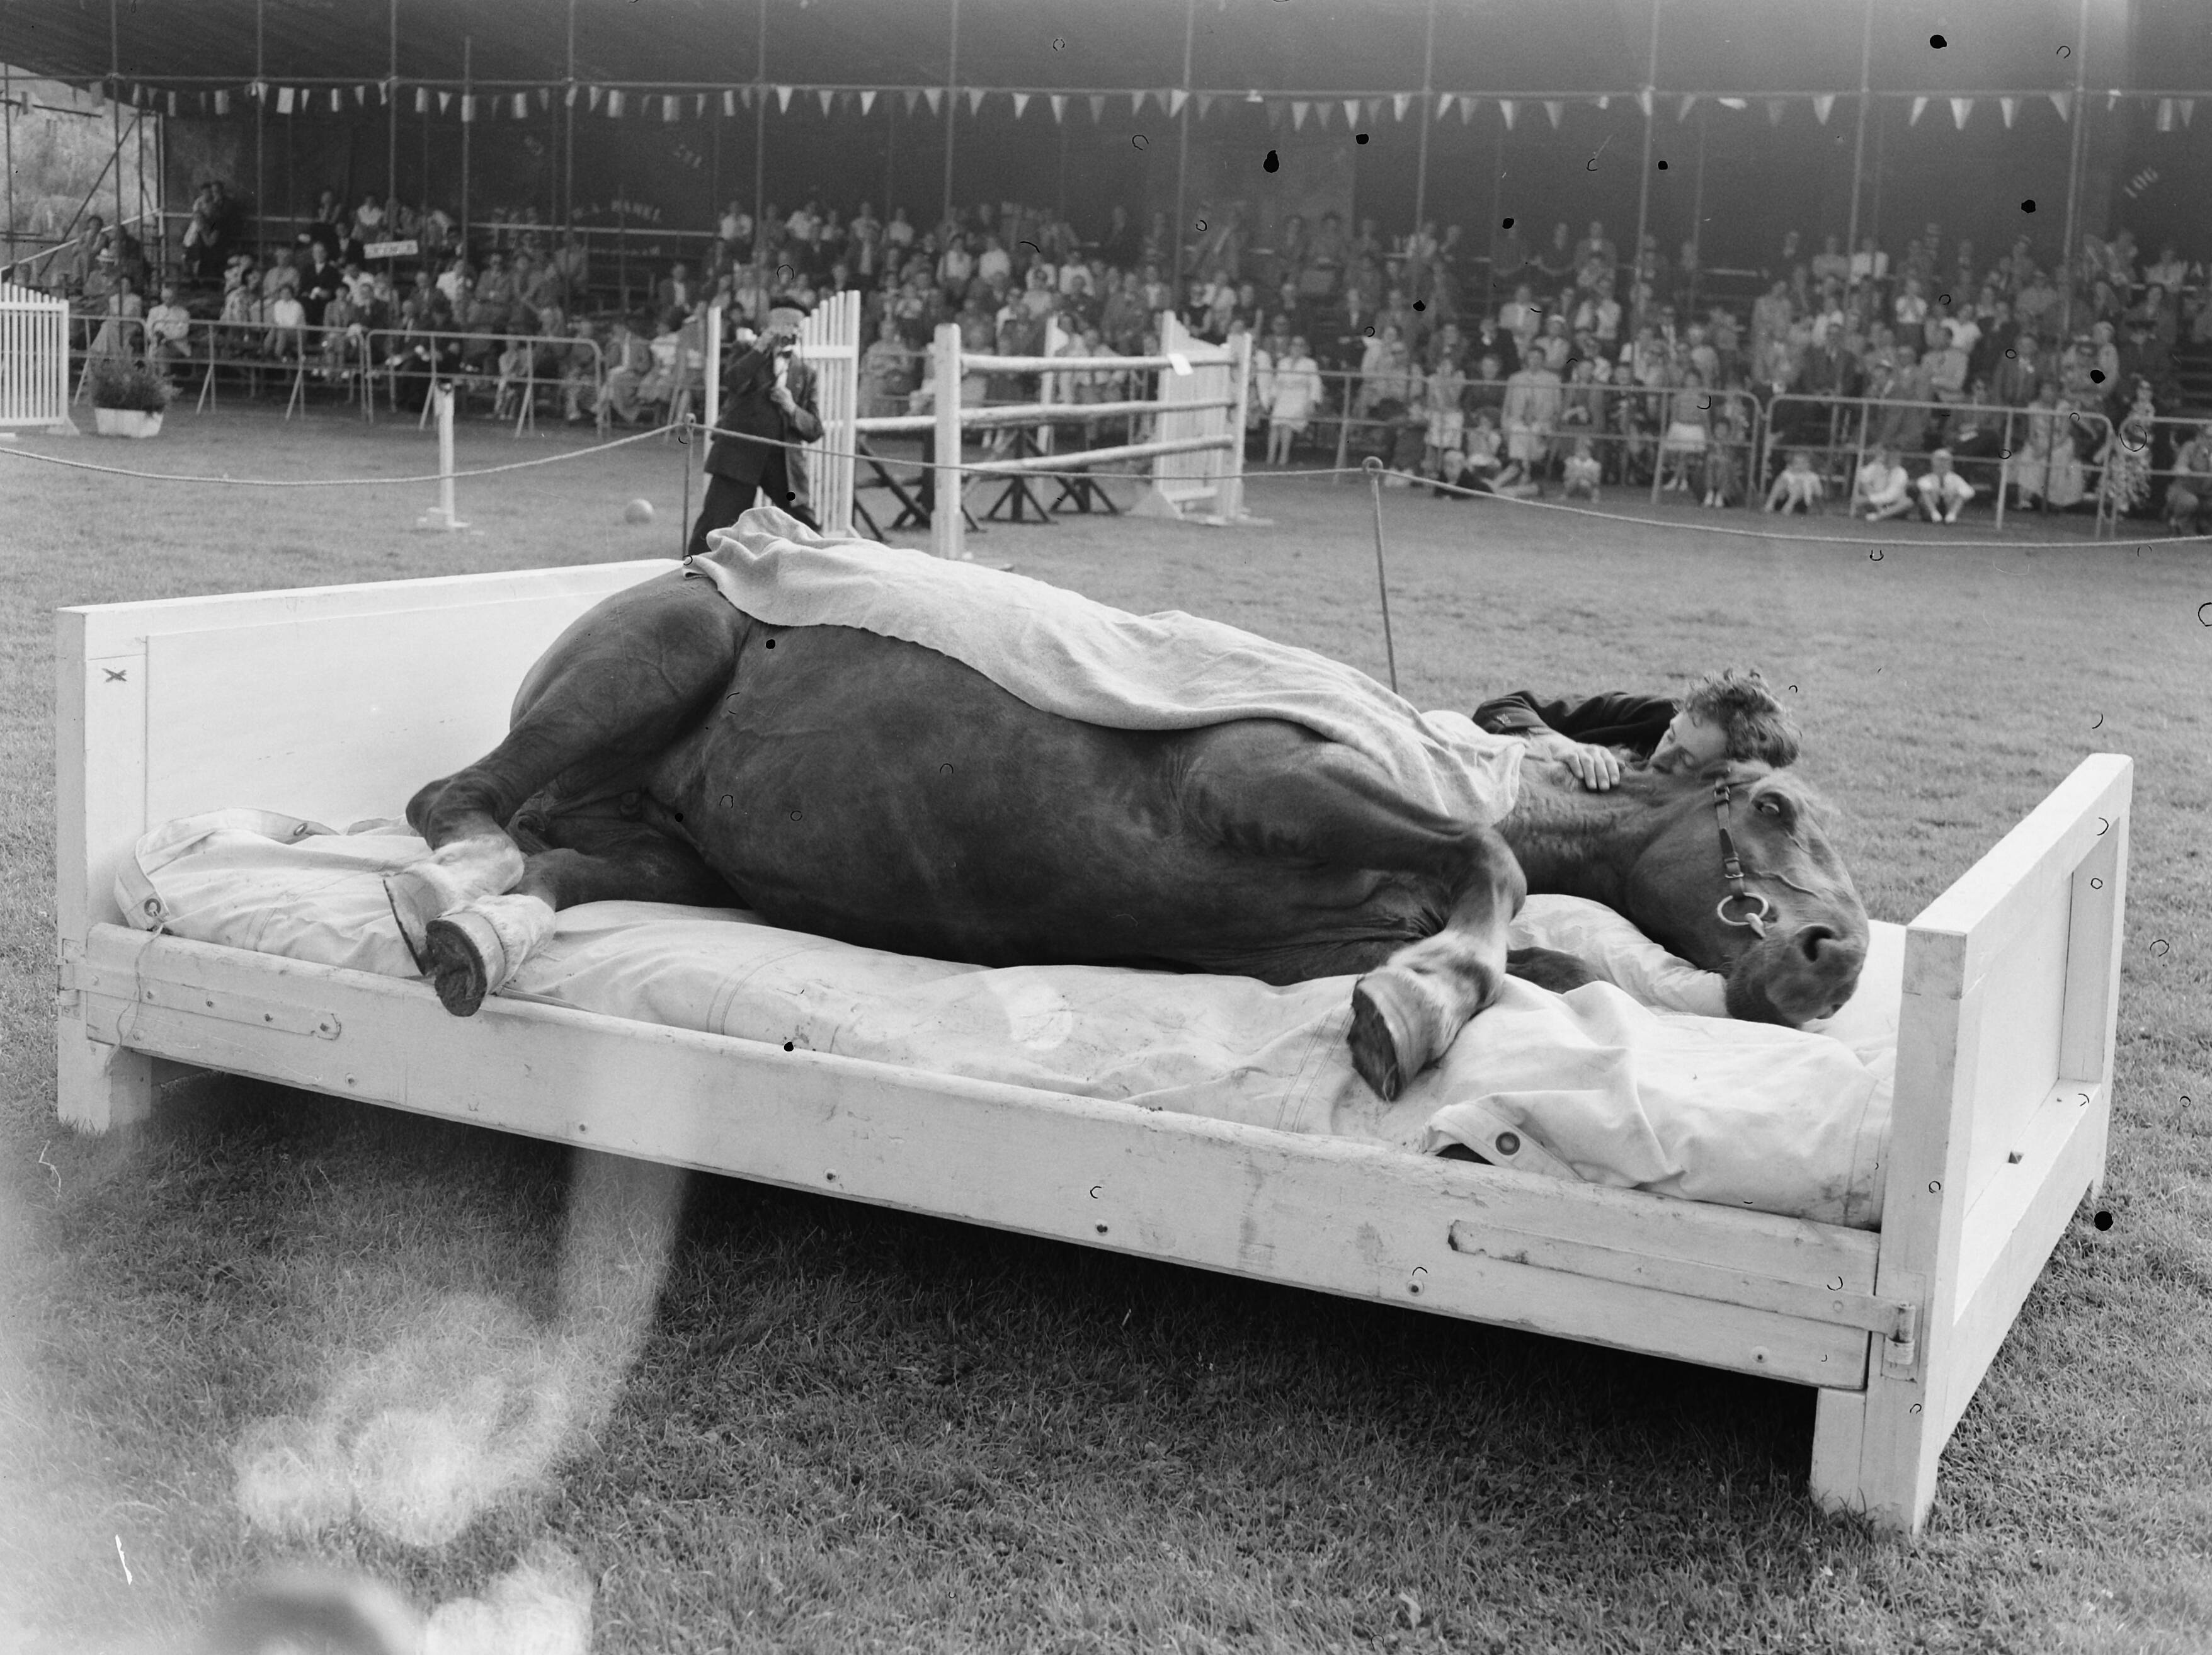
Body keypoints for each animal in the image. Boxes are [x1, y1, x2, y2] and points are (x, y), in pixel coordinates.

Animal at [391, 567, 1868, 1102]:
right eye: (1775, 807)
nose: (1834, 957)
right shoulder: (1263, 781)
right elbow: (1497, 878)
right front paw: (1420, 1010)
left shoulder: (1306, 946)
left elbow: (1540, 961)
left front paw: (1438, 987)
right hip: (664, 654)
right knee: (447, 804)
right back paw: (445, 888)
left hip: (670, 851)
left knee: (548, 863)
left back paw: (481, 925)